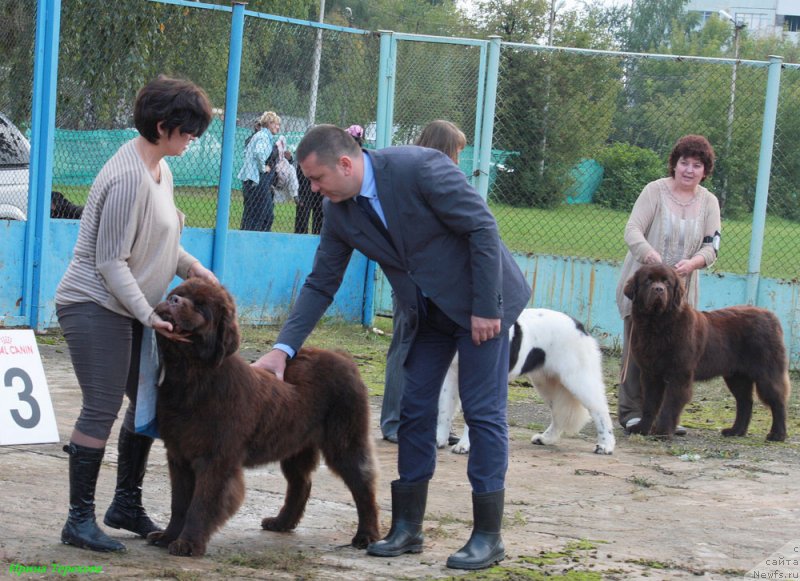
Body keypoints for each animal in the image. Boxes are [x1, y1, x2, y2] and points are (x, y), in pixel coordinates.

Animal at [146, 278, 382, 556]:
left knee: (363, 484)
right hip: (295, 444)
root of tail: (344, 357)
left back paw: (366, 535)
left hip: (344, 441)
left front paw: (188, 543)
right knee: (301, 483)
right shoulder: (178, 454)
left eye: (201, 307)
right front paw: (167, 536)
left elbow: (201, 503)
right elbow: (179, 503)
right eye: (177, 294)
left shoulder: (216, 457)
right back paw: (282, 522)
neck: (191, 376)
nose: (173, 300)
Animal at [438, 306, 612, 456]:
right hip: (546, 383)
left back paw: (606, 445)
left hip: (578, 379)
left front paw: (464, 445)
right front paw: (438, 440)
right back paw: (546, 438)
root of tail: (579, 326)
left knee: (600, 411)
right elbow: (444, 410)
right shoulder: (451, 373)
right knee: (557, 413)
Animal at [624, 262, 788, 440]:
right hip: (737, 376)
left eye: (666, 282)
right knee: (745, 402)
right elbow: (649, 404)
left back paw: (777, 434)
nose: (658, 289)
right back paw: (735, 431)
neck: (657, 325)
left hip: (766, 372)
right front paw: (641, 428)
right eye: (648, 281)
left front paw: (662, 432)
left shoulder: (679, 374)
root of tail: (771, 316)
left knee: (777, 400)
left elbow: (669, 405)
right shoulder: (650, 373)